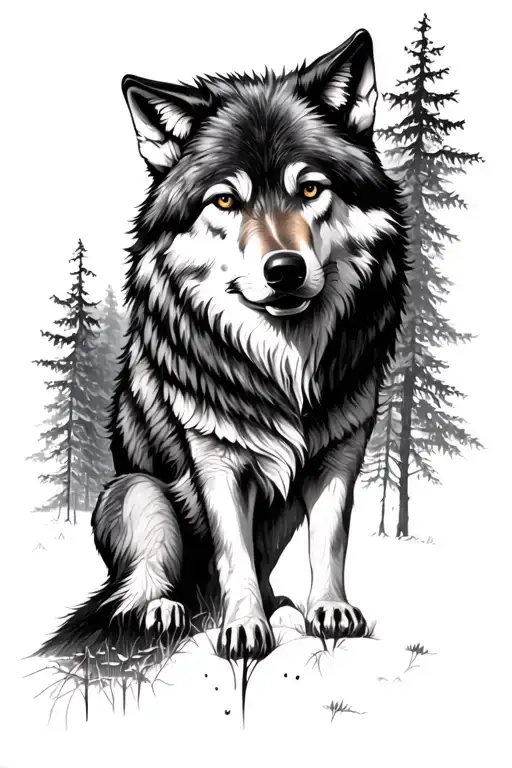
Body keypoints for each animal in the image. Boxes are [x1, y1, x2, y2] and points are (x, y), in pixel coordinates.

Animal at [37, 29, 408, 661]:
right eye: (226, 201)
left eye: (310, 188)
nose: (284, 270)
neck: (285, 364)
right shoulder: (216, 460)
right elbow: (232, 553)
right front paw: (243, 629)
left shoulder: (341, 452)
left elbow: (330, 541)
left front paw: (329, 610)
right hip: (139, 493)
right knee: (137, 588)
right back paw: (165, 610)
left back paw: (278, 604)